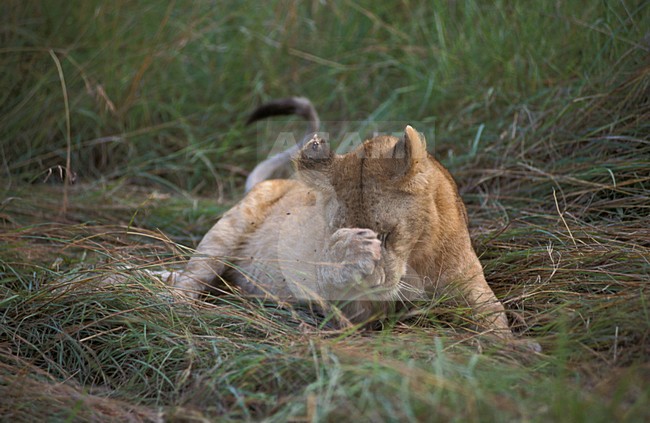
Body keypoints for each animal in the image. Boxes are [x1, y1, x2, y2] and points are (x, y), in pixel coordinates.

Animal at [172, 100, 514, 338]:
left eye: (387, 234)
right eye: (339, 230)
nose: (371, 284)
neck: (415, 258)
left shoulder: (468, 280)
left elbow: (493, 315)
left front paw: (510, 348)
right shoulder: (351, 310)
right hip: (226, 231)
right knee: (189, 278)